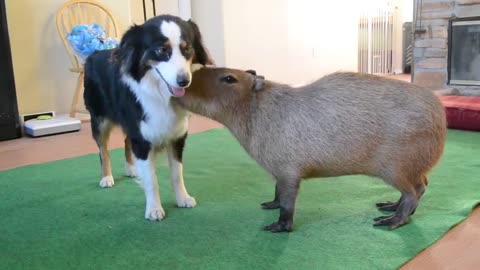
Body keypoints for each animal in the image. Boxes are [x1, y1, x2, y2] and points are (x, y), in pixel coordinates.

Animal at [83, 14, 213, 220]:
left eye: (187, 49)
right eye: (161, 50)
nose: (184, 81)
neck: (160, 93)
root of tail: (95, 53)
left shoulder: (176, 136)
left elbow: (177, 174)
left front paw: (182, 198)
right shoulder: (141, 138)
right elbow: (151, 180)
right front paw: (154, 209)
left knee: (126, 141)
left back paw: (131, 169)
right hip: (99, 118)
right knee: (103, 150)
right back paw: (106, 177)